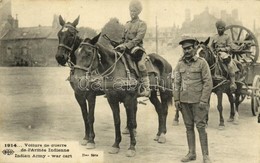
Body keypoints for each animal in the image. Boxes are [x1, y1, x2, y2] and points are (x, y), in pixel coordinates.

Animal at [54, 15, 103, 148]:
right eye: (59, 34)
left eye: (71, 35)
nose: (60, 57)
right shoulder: (78, 94)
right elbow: (85, 115)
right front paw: (86, 137)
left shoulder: (91, 95)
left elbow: (91, 116)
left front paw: (91, 140)